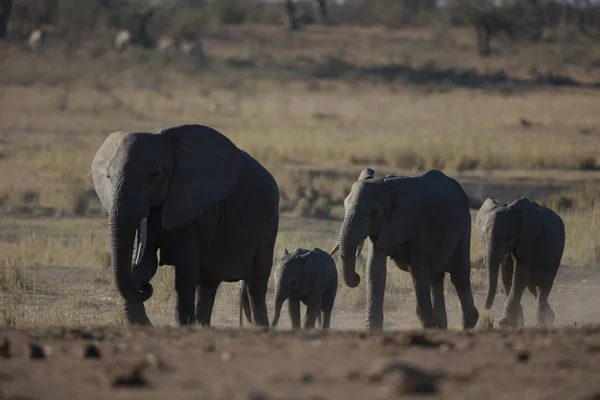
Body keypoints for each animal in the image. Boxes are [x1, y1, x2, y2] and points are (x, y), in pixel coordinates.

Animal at [88, 123, 280, 326]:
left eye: (154, 175)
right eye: (108, 176)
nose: (145, 288)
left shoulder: (198, 207)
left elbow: (185, 268)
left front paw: (183, 325)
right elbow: (145, 263)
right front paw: (142, 324)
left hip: (269, 224)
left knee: (255, 285)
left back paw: (260, 328)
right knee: (209, 283)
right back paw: (203, 327)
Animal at [330, 168, 480, 332]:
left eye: (374, 213)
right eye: (344, 206)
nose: (357, 277)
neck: (388, 187)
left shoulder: (420, 224)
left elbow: (419, 269)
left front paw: (428, 326)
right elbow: (375, 269)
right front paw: (373, 330)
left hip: (464, 228)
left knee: (458, 277)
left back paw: (468, 324)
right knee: (436, 279)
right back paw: (441, 327)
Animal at [476, 197, 564, 328]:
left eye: (509, 237)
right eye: (483, 237)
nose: (485, 309)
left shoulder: (528, 239)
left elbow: (520, 276)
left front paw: (505, 323)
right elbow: (505, 276)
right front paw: (515, 324)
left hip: (557, 251)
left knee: (543, 286)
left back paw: (541, 325)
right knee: (533, 287)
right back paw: (550, 317)